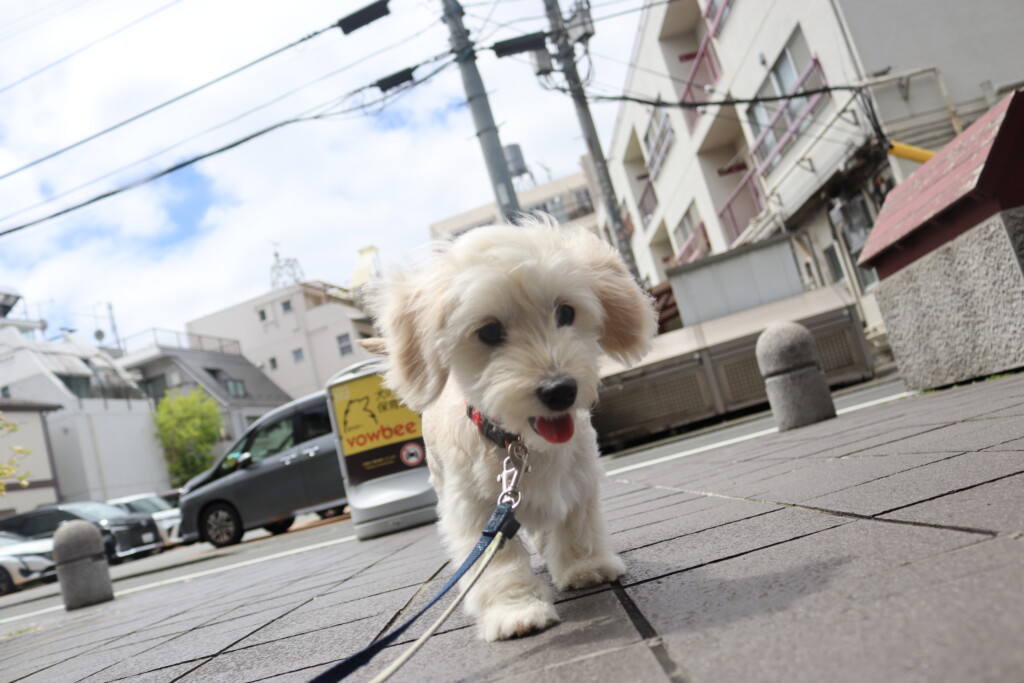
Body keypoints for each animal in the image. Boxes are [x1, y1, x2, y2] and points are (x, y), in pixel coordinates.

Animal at [363, 215, 657, 641]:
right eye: (488, 331)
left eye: (565, 312)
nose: (560, 390)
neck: (522, 446)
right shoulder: (475, 509)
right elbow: (496, 563)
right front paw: (514, 610)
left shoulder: (579, 479)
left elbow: (578, 526)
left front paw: (585, 567)